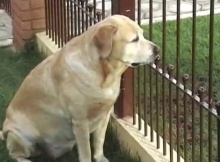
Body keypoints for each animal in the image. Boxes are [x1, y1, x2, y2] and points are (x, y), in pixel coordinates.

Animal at [0, 14, 159, 162]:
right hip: (18, 135)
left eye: (142, 34)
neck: (104, 75)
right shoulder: (80, 121)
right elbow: (86, 151)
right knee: (16, 154)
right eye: (134, 39)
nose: (157, 50)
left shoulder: (105, 115)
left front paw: (100, 158)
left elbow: (99, 141)